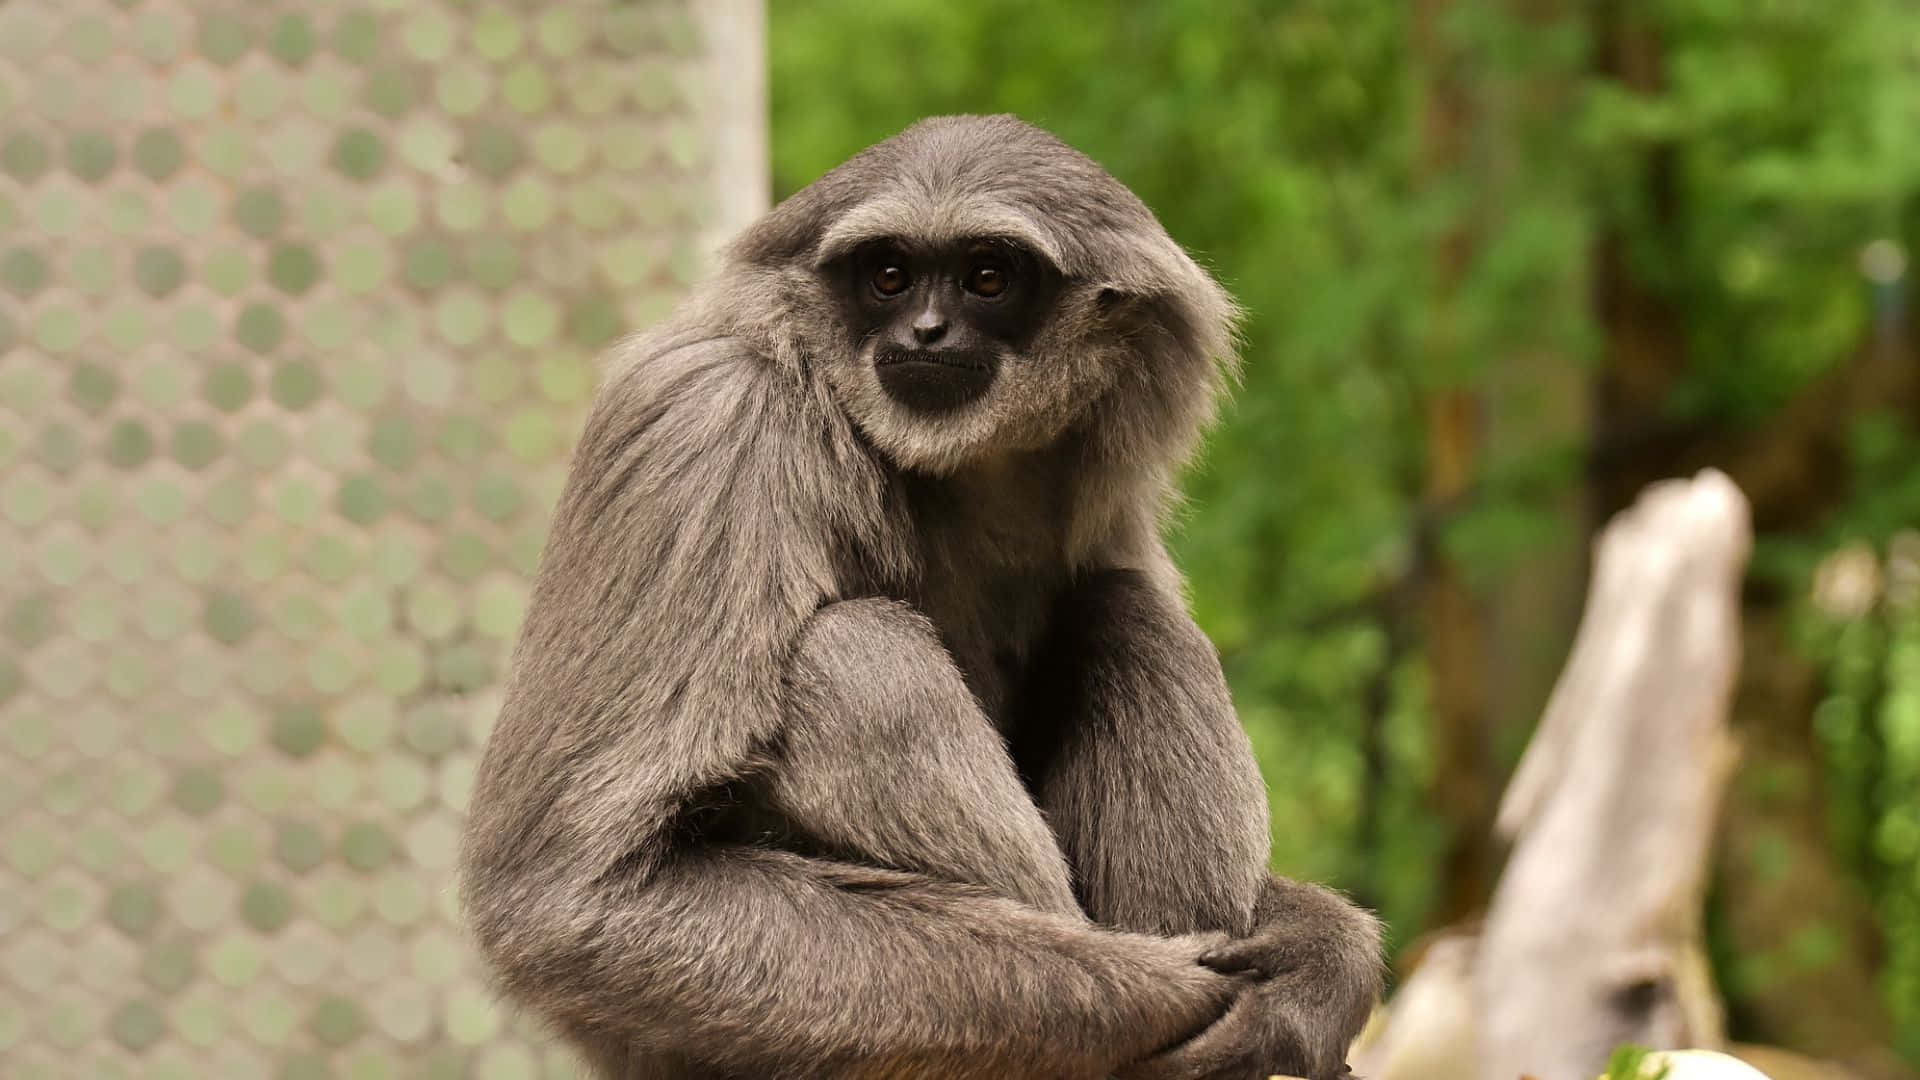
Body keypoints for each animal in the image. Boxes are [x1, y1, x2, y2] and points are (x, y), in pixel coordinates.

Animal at [459, 114, 1383, 1080]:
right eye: (890, 276)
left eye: (987, 277)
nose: (927, 329)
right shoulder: (704, 420)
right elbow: (570, 898)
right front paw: (1190, 989)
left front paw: (1315, 967)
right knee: (856, 651)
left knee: (1127, 613)